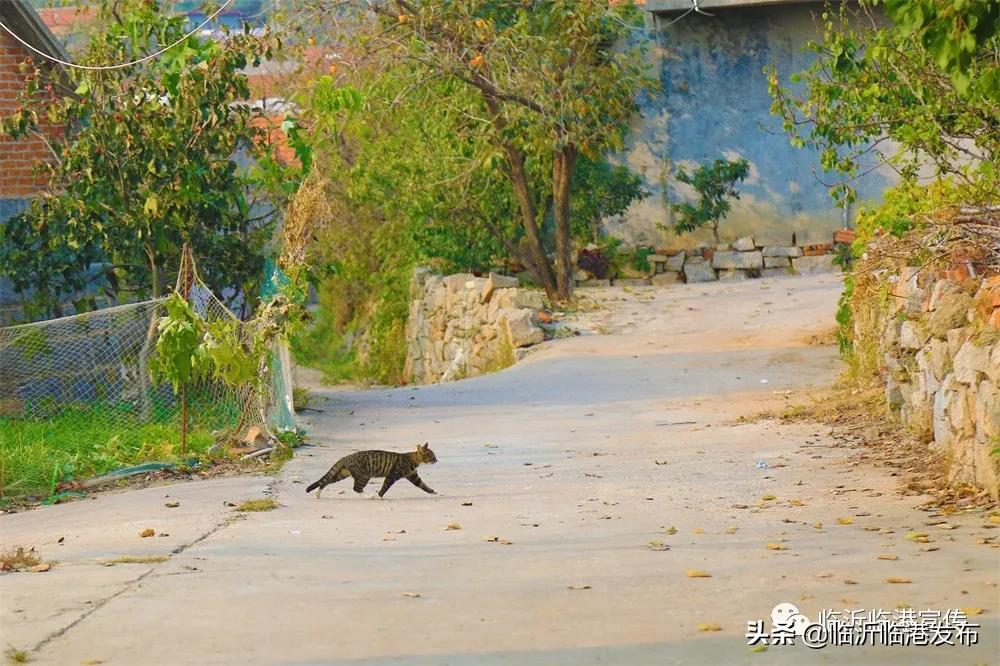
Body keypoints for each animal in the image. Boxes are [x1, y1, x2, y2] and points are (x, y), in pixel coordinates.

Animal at [304, 444, 438, 496]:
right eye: (431, 456)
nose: (436, 460)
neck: (413, 460)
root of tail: (345, 457)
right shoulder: (392, 475)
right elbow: (385, 487)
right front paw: (379, 495)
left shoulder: (413, 476)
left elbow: (423, 486)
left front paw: (433, 491)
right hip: (364, 475)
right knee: (356, 488)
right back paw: (369, 496)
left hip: (341, 474)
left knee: (325, 482)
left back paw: (317, 494)